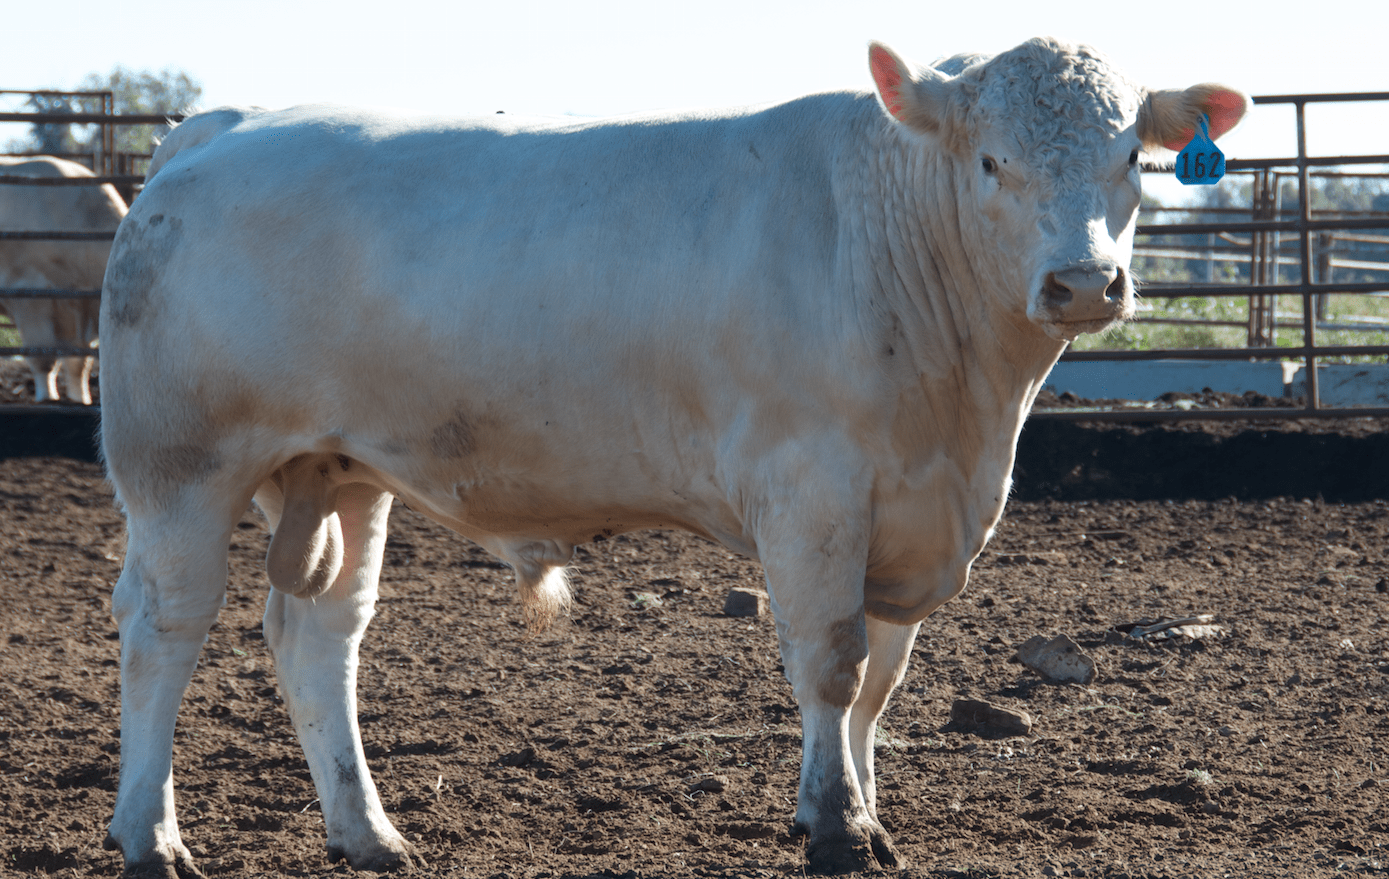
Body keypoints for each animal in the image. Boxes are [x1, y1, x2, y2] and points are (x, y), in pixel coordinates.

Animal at [0, 156, 126, 404]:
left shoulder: (76, 307)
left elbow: (78, 363)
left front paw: (80, 400)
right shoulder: (29, 295)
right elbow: (44, 360)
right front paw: (47, 398)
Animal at [98, 37, 1247, 876]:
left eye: (1133, 158)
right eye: (991, 160)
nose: (1083, 283)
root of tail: (218, 128)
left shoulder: (913, 510)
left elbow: (878, 683)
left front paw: (864, 811)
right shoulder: (813, 491)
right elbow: (830, 664)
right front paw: (836, 827)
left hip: (340, 472)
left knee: (320, 634)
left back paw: (367, 832)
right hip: (179, 466)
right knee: (165, 628)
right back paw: (151, 837)